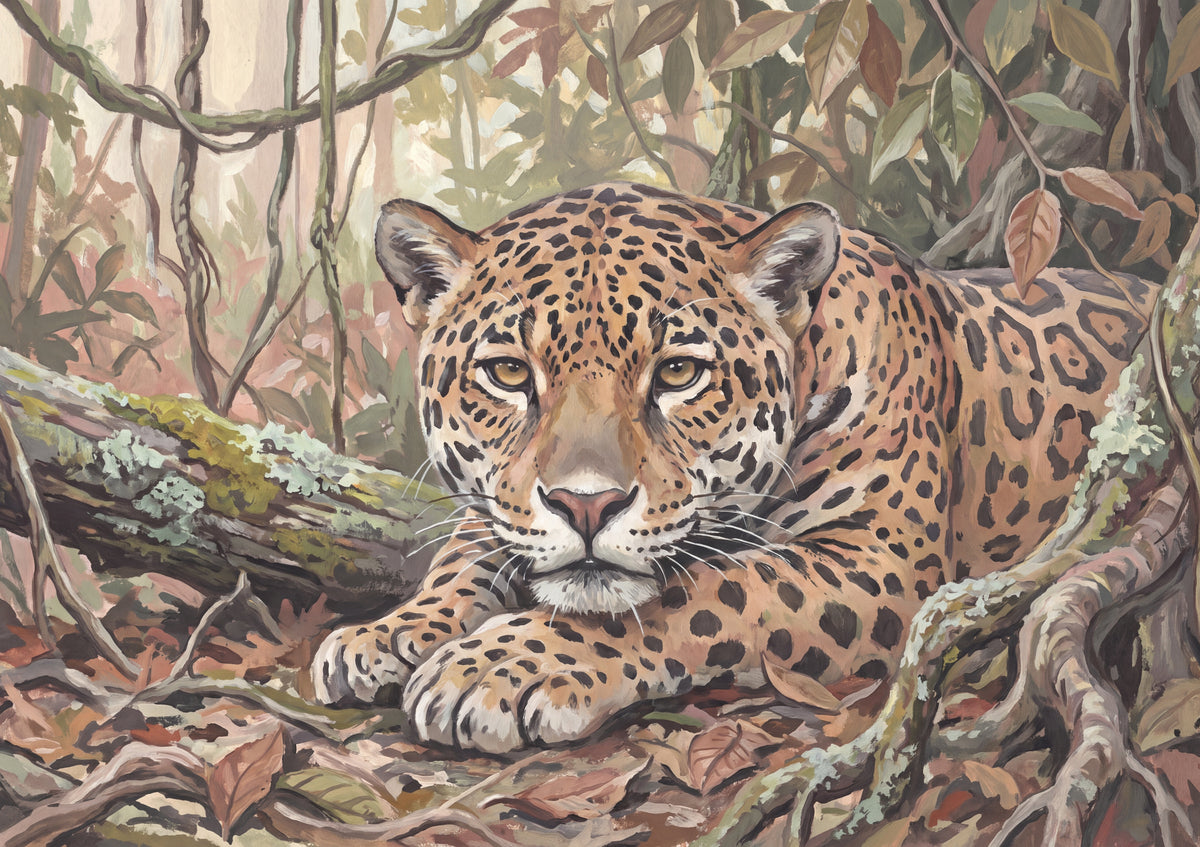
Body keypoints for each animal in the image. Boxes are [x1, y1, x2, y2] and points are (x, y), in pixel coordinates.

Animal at [311, 181, 1153, 754]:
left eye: (679, 372)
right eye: (510, 373)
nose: (587, 506)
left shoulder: (882, 562)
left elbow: (699, 593)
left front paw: (495, 669)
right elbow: (466, 553)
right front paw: (388, 634)